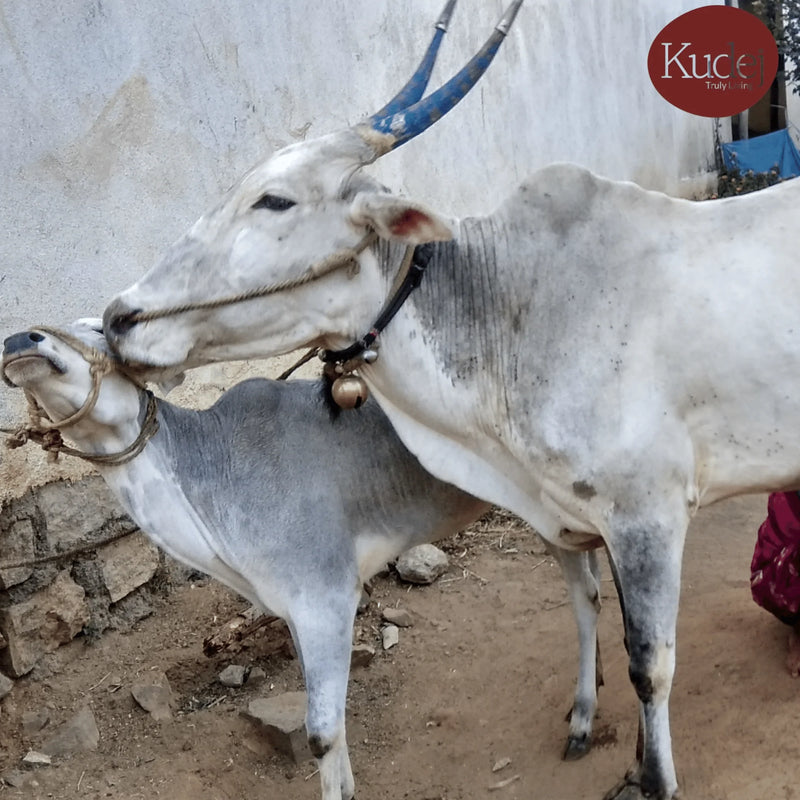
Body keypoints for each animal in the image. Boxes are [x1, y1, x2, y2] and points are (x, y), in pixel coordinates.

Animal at [1, 319, 605, 800]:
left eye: (95, 329)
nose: (19, 339)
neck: (211, 483)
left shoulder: (326, 592)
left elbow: (320, 733)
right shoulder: (294, 606)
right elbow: (329, 728)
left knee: (595, 595)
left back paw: (584, 722)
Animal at [97, 1, 800, 797]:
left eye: (275, 200)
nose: (120, 319)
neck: (508, 307)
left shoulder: (647, 515)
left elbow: (649, 665)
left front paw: (657, 779)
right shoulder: (583, 519)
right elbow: (598, 615)